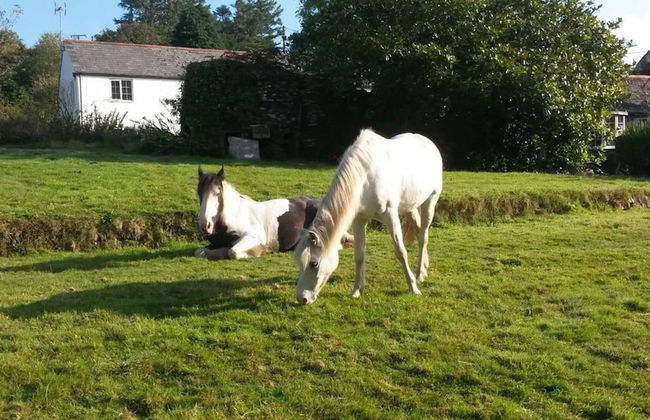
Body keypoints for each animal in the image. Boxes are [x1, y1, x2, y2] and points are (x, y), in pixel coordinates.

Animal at [196, 166, 351, 260]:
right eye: (199, 193)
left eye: (217, 193)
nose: (205, 225)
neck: (234, 216)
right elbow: (200, 252)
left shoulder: (253, 237)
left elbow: (232, 252)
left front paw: (263, 250)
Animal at [294, 129, 443, 304]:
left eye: (314, 263)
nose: (302, 298)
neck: (365, 178)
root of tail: (428, 143)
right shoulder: (359, 219)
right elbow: (359, 255)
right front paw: (356, 291)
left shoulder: (390, 216)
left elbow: (400, 251)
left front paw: (413, 288)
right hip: (410, 207)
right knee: (419, 232)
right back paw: (423, 269)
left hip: (430, 201)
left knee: (423, 236)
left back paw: (419, 274)